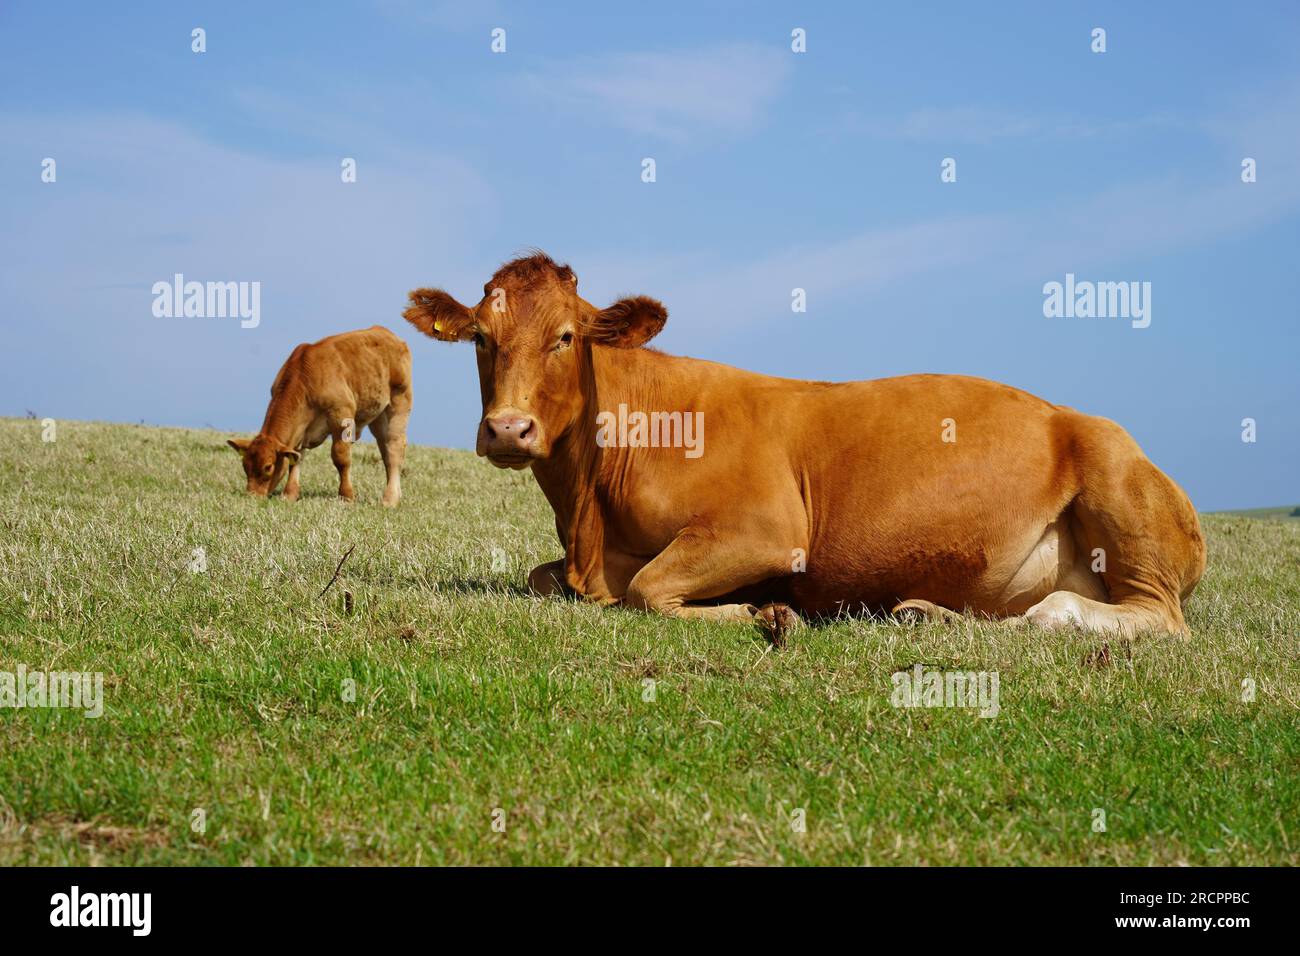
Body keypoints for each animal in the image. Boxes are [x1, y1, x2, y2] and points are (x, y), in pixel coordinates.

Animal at [227, 326, 412, 507]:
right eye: (245, 465)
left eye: (268, 467)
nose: (252, 496)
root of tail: (388, 334)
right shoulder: (300, 428)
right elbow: (296, 458)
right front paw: (289, 494)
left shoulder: (341, 414)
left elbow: (341, 458)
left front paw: (346, 496)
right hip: (378, 416)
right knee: (385, 450)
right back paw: (395, 493)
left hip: (399, 402)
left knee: (395, 448)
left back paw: (390, 499)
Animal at [403, 253, 1205, 639]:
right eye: (480, 337)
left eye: (567, 336)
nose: (509, 429)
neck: (587, 522)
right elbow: (549, 578)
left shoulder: (768, 528)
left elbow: (647, 590)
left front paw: (762, 612)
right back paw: (925, 614)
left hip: (1117, 487)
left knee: (1153, 616)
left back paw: (1052, 613)